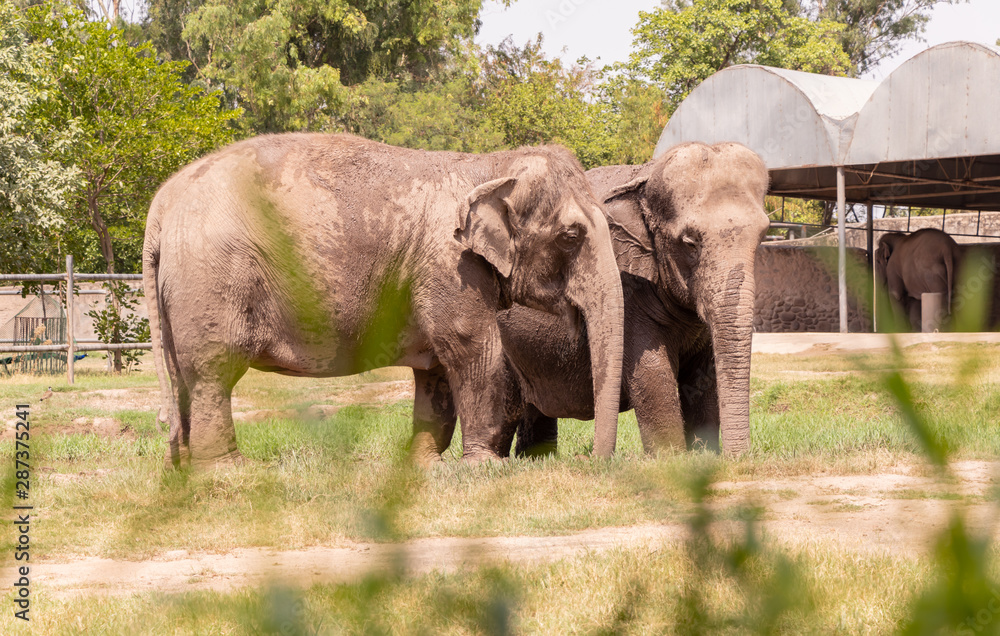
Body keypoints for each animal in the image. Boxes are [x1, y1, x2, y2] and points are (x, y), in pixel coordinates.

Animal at [142, 133, 625, 467]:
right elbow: (473, 349)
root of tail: (161, 206)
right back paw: (228, 471)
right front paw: (485, 467)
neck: (489, 165)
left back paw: (180, 471)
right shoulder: (450, 267)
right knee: (213, 371)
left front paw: (424, 466)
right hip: (211, 279)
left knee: (183, 375)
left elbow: (436, 371)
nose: (592, 462)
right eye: (571, 236)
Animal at [413, 142, 770, 457]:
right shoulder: (631, 291)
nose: (740, 459)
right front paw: (673, 462)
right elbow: (652, 374)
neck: (645, 176)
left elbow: (704, 378)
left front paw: (704, 460)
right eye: (690, 243)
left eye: (763, 235)